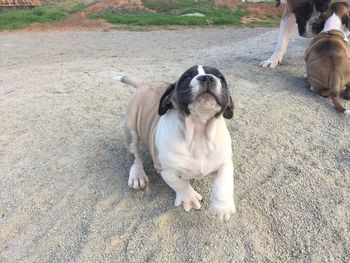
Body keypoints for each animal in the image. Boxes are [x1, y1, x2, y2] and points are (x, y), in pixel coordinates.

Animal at [117, 66, 235, 223]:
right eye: (186, 77)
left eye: (221, 78)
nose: (207, 78)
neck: (198, 132)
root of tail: (145, 83)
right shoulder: (167, 170)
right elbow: (181, 185)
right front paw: (189, 198)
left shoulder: (224, 162)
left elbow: (224, 183)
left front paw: (222, 208)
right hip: (131, 129)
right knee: (134, 154)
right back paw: (137, 175)